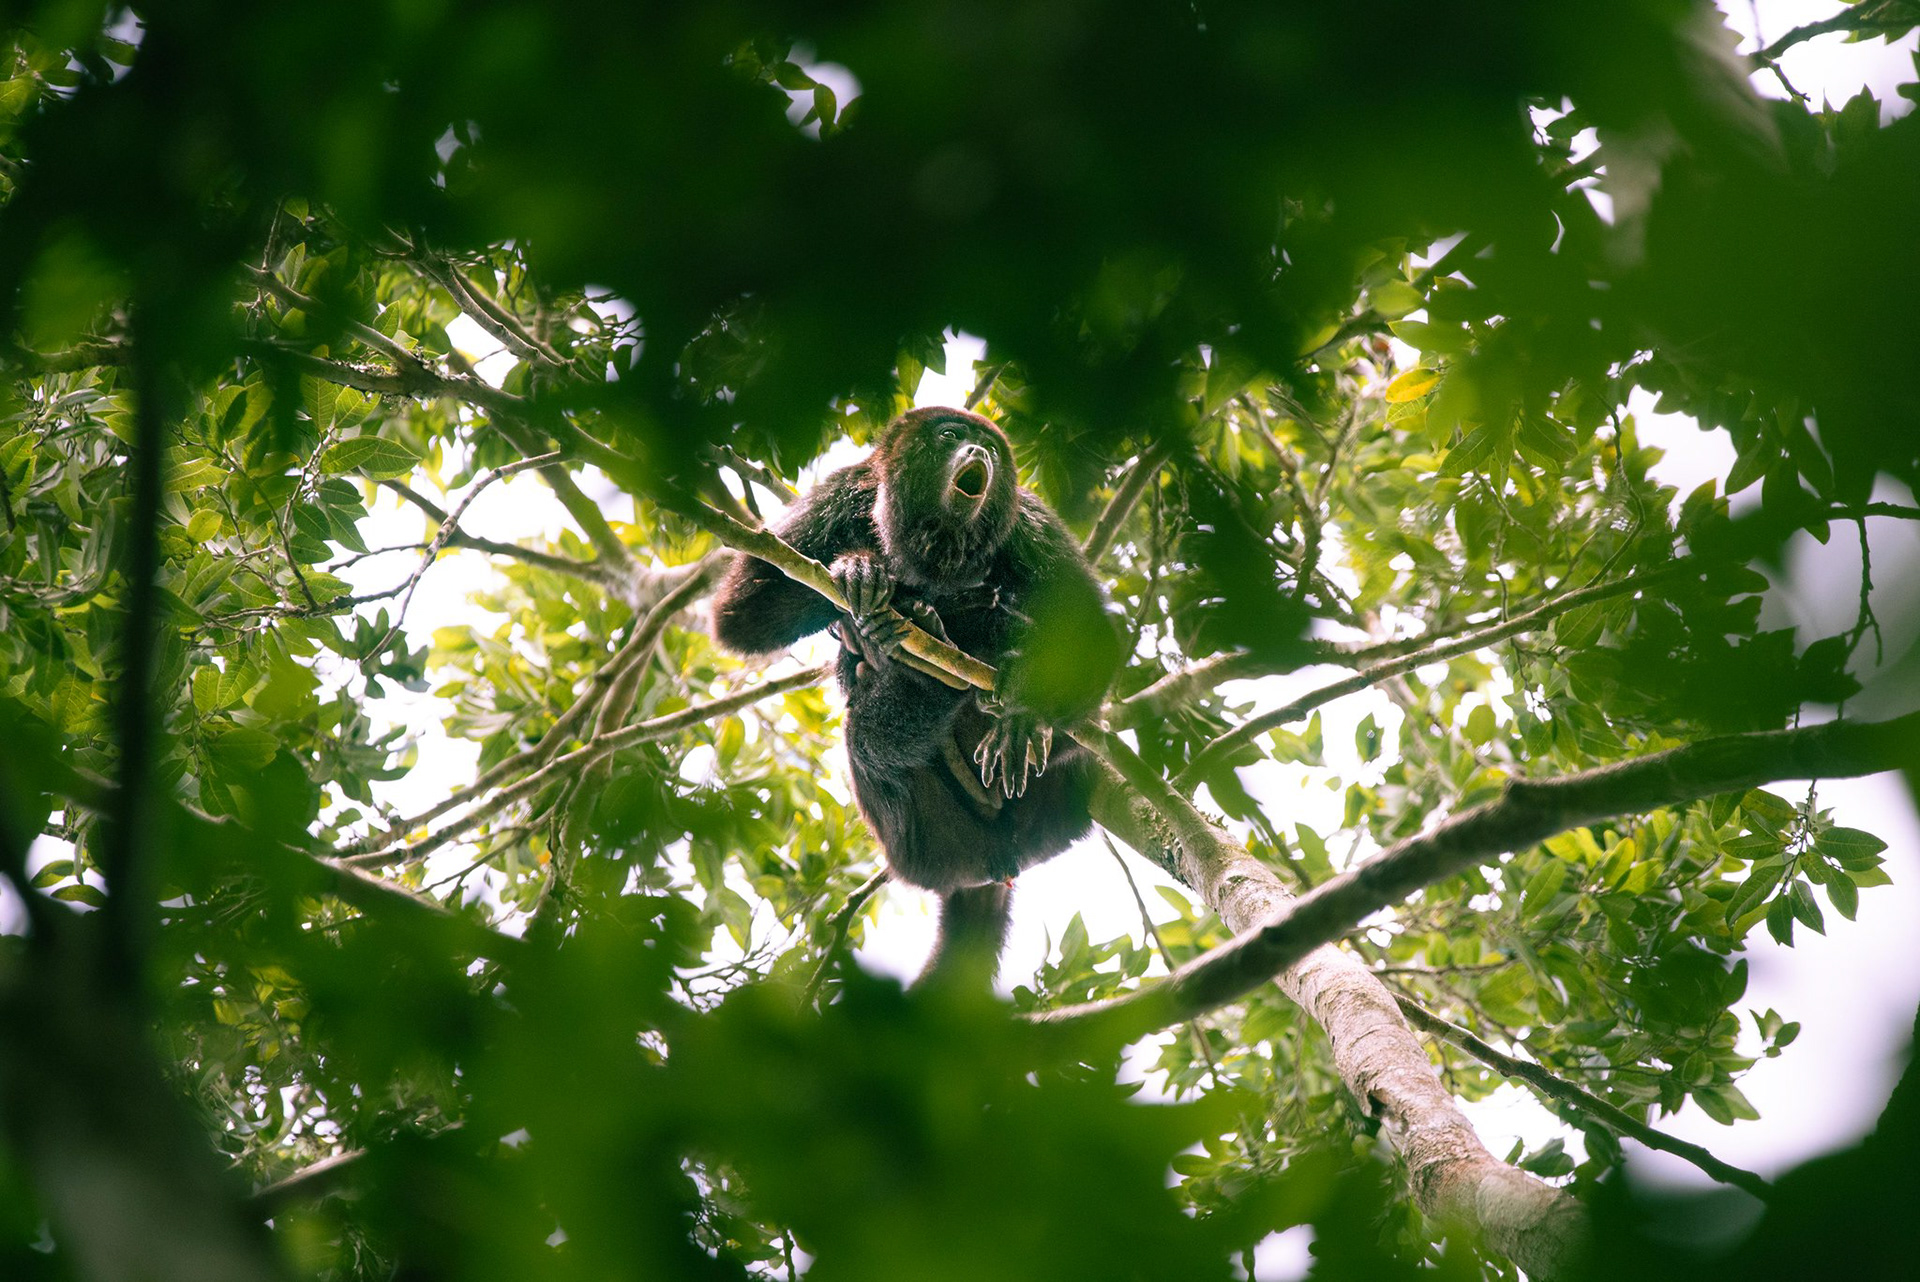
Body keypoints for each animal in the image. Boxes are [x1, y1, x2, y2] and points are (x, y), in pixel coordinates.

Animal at [710, 406, 1123, 986]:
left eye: (989, 448)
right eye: (950, 436)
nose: (980, 453)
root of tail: (997, 862)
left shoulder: (1028, 521)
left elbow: (1090, 634)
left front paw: (1023, 717)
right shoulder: (845, 491)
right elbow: (745, 605)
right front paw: (856, 570)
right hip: (922, 846)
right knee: (865, 743)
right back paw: (909, 659)